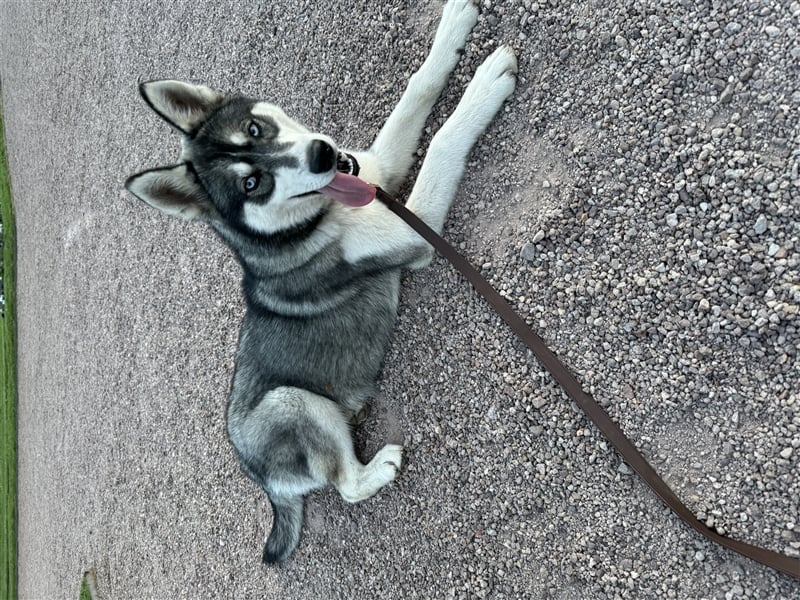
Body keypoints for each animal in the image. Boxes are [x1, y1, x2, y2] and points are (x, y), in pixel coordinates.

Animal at [123, 0, 512, 564]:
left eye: (255, 128)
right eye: (252, 183)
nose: (324, 155)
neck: (316, 218)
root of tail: (264, 483)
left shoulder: (375, 168)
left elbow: (416, 91)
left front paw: (455, 33)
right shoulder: (415, 231)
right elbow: (441, 141)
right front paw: (486, 84)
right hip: (294, 402)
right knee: (343, 485)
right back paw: (377, 470)